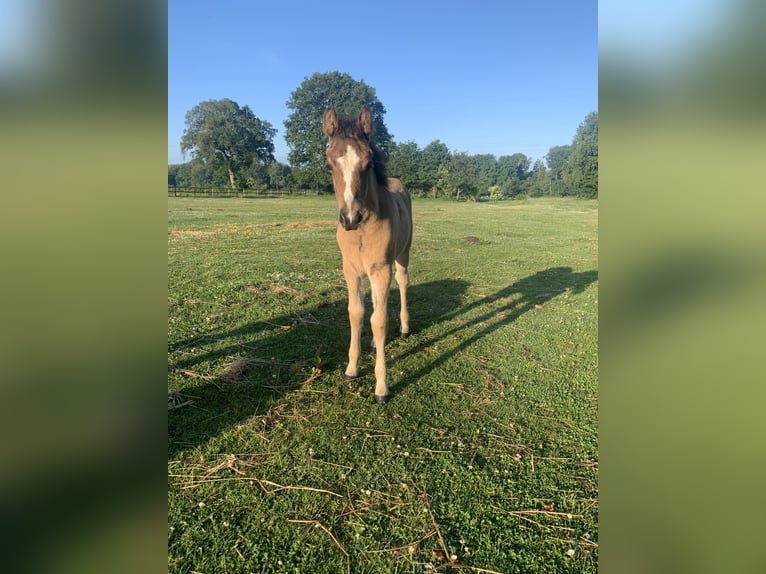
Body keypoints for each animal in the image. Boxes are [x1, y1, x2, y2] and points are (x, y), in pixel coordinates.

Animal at [322, 105, 412, 403]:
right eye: (328, 165)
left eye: (369, 162)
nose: (350, 218)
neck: (361, 231)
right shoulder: (351, 270)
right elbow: (357, 313)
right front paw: (351, 368)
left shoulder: (381, 269)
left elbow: (380, 321)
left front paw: (381, 387)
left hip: (402, 254)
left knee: (403, 282)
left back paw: (405, 329)